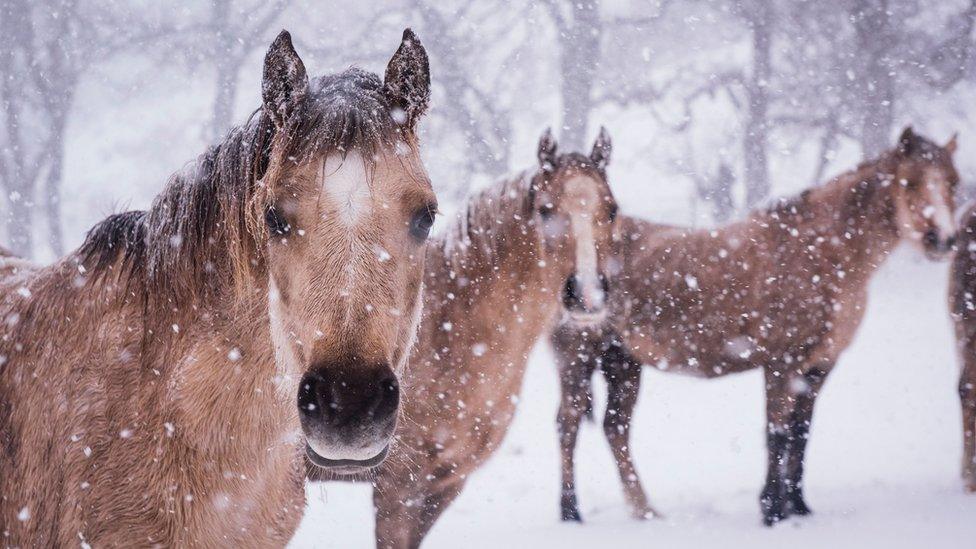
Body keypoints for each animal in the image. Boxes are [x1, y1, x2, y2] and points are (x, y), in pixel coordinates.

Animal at [308, 127, 616, 548]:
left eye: (612, 210)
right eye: (546, 210)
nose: (588, 295)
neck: (450, 331)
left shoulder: (444, 484)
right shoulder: (397, 488)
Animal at [552, 128, 956, 528]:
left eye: (952, 182)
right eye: (910, 182)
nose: (944, 240)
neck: (822, 255)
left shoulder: (818, 366)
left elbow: (800, 433)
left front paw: (798, 506)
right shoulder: (782, 363)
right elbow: (777, 433)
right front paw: (772, 510)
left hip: (622, 363)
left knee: (615, 428)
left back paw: (645, 511)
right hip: (579, 357)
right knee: (568, 424)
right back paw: (571, 512)